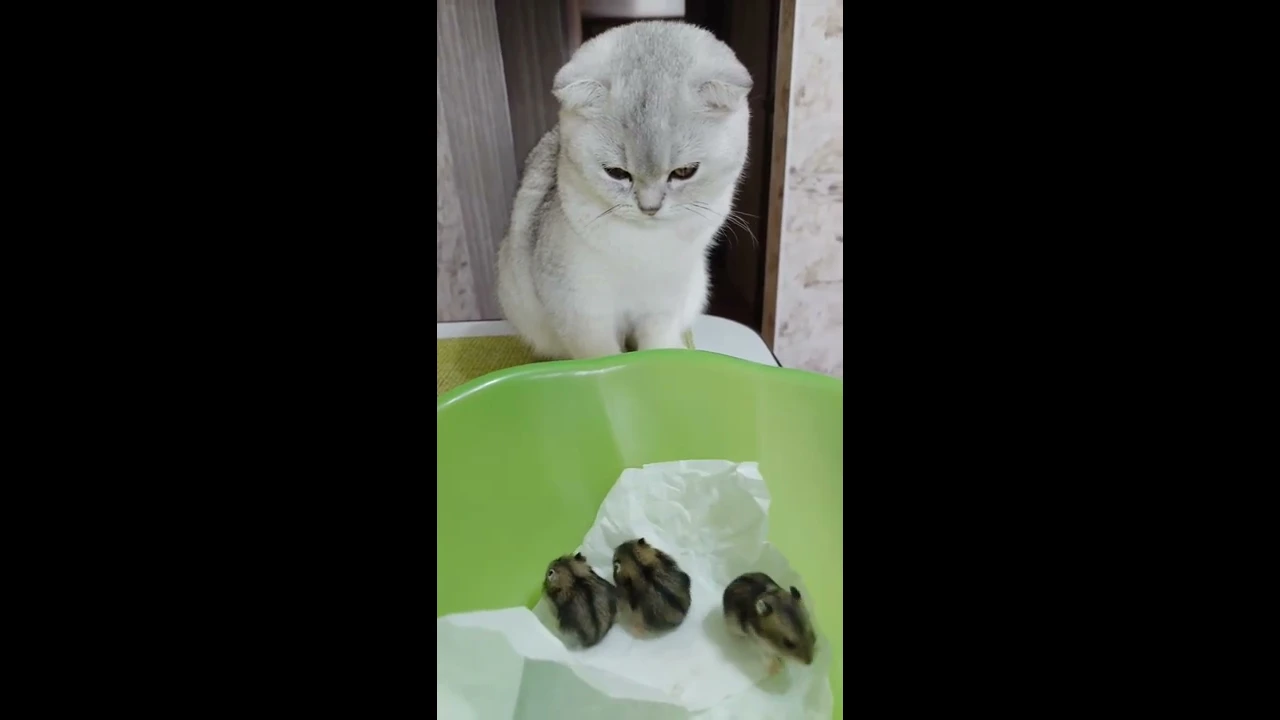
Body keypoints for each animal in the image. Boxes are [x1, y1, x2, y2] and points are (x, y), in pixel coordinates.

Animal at [491, 22, 747, 358]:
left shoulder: (663, 304)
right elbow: (602, 356)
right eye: (616, 173)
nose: (649, 208)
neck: (645, 244)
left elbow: (655, 344)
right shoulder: (581, 310)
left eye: (684, 172)